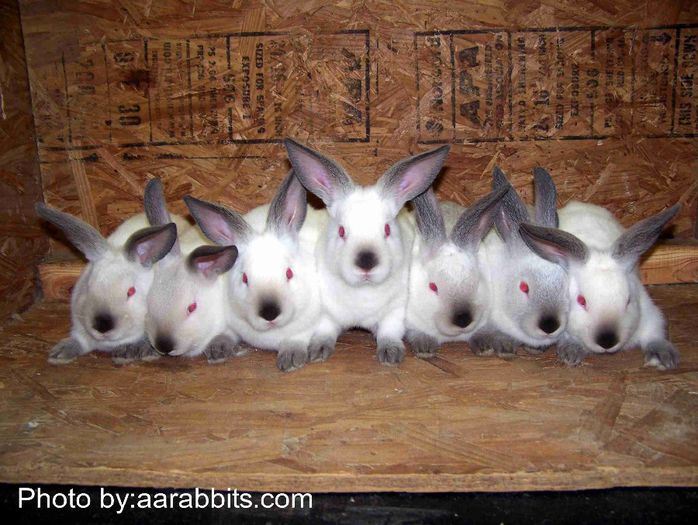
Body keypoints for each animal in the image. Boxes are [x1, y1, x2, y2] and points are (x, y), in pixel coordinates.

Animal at [35, 185, 184, 364]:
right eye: (88, 287)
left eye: (131, 291)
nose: (102, 326)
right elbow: (79, 341)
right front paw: (59, 354)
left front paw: (132, 353)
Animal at [184, 170, 326, 372]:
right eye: (245, 278)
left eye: (289, 273)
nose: (269, 313)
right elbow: (228, 332)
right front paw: (217, 349)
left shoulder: (308, 326)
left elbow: (297, 339)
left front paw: (291, 359)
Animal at [284, 138, 450, 366]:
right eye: (341, 231)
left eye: (387, 229)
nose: (366, 263)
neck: (363, 291)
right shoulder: (326, 313)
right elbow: (325, 330)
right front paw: (318, 352)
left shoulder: (395, 311)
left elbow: (389, 332)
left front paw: (391, 355)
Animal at [404, 184, 509, 357]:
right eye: (433, 287)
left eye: (476, 283)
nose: (463, 320)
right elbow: (418, 334)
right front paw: (424, 350)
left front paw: (485, 348)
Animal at [519, 201, 681, 369]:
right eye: (581, 301)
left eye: (628, 300)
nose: (607, 342)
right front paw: (571, 353)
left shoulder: (649, 312)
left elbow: (655, 333)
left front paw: (664, 357)